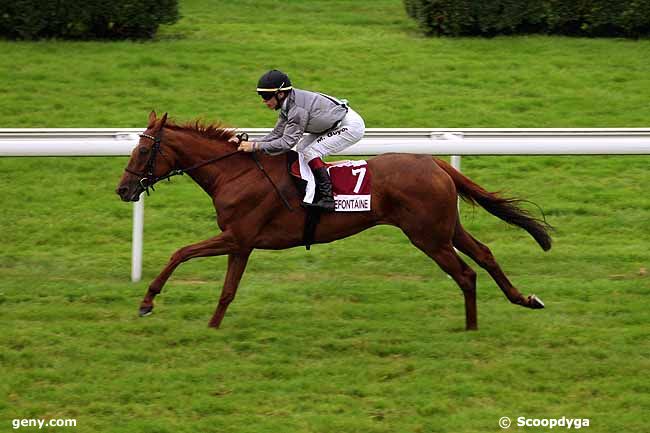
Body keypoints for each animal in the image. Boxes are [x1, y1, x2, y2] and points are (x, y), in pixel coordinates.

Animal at [115, 111, 548, 330]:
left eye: (143, 151)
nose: (123, 189)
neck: (234, 173)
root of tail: (436, 162)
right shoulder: (242, 243)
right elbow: (227, 290)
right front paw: (213, 327)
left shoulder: (236, 236)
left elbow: (180, 252)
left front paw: (147, 302)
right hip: (446, 228)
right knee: (485, 255)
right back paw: (525, 299)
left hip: (428, 237)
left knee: (465, 273)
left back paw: (471, 328)